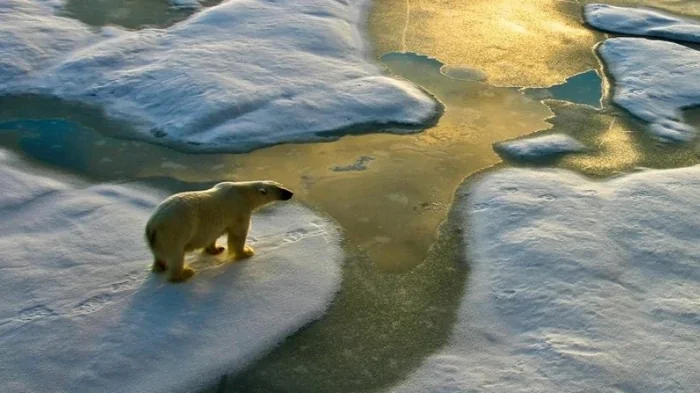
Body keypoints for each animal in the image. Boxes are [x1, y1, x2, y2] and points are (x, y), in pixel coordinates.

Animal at [145, 181, 292, 282]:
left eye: (281, 184)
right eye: (280, 189)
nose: (291, 192)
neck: (243, 193)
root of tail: (152, 225)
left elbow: (213, 235)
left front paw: (216, 249)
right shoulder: (239, 210)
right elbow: (238, 235)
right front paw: (246, 252)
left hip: (158, 240)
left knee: (159, 255)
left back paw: (160, 266)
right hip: (174, 232)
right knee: (176, 256)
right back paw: (185, 273)